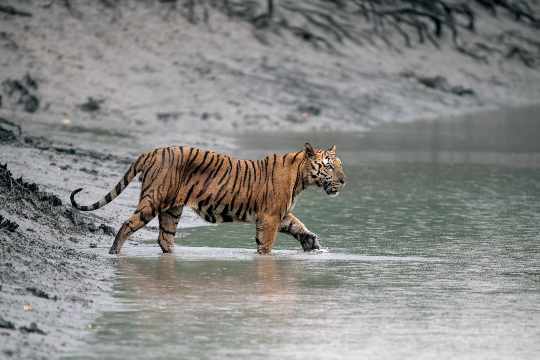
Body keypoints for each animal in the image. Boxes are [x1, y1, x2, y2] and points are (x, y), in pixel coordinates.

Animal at [70, 142, 346, 255]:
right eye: (329, 166)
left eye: (340, 165)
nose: (344, 180)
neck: (301, 178)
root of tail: (151, 151)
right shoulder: (269, 217)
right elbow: (266, 246)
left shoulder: (280, 214)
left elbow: (298, 225)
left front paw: (311, 243)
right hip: (153, 200)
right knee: (127, 224)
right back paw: (113, 253)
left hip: (172, 209)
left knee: (164, 238)